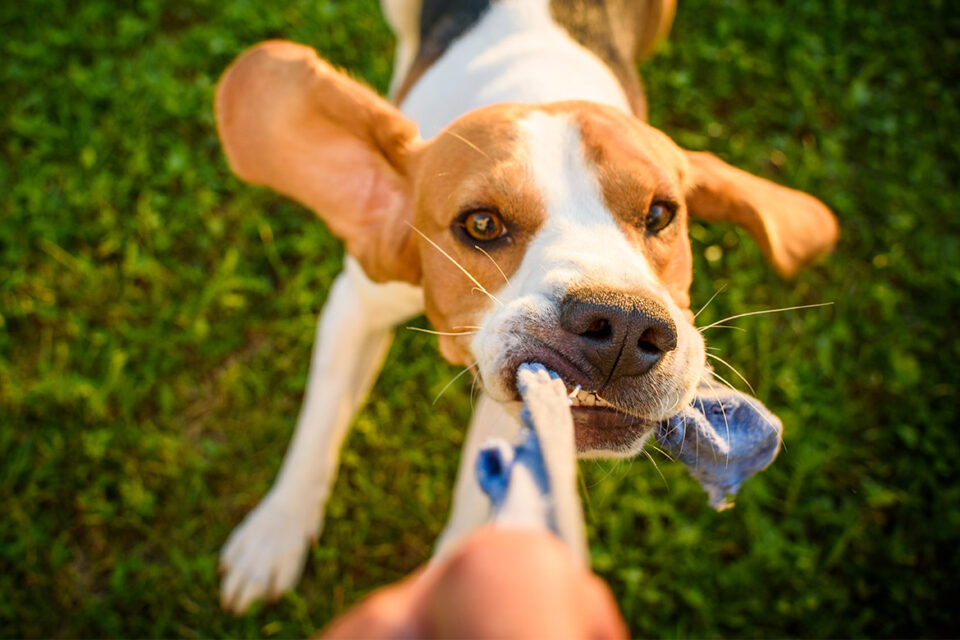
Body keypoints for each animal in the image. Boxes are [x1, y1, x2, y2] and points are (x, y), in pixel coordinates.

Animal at [214, 0, 836, 612]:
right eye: (481, 224)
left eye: (661, 214)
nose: (624, 325)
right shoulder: (358, 302)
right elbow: (318, 426)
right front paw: (274, 535)